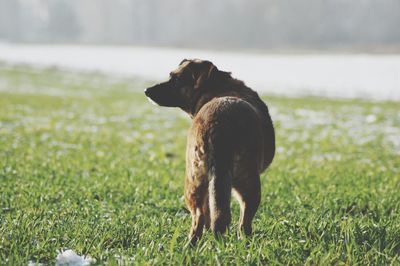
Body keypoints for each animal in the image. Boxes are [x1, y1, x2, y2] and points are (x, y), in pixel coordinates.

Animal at [145, 59, 276, 244]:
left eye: (175, 79)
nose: (146, 91)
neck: (218, 87)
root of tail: (218, 126)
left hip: (194, 181)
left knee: (199, 217)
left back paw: (193, 244)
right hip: (249, 184)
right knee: (243, 222)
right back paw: (245, 241)